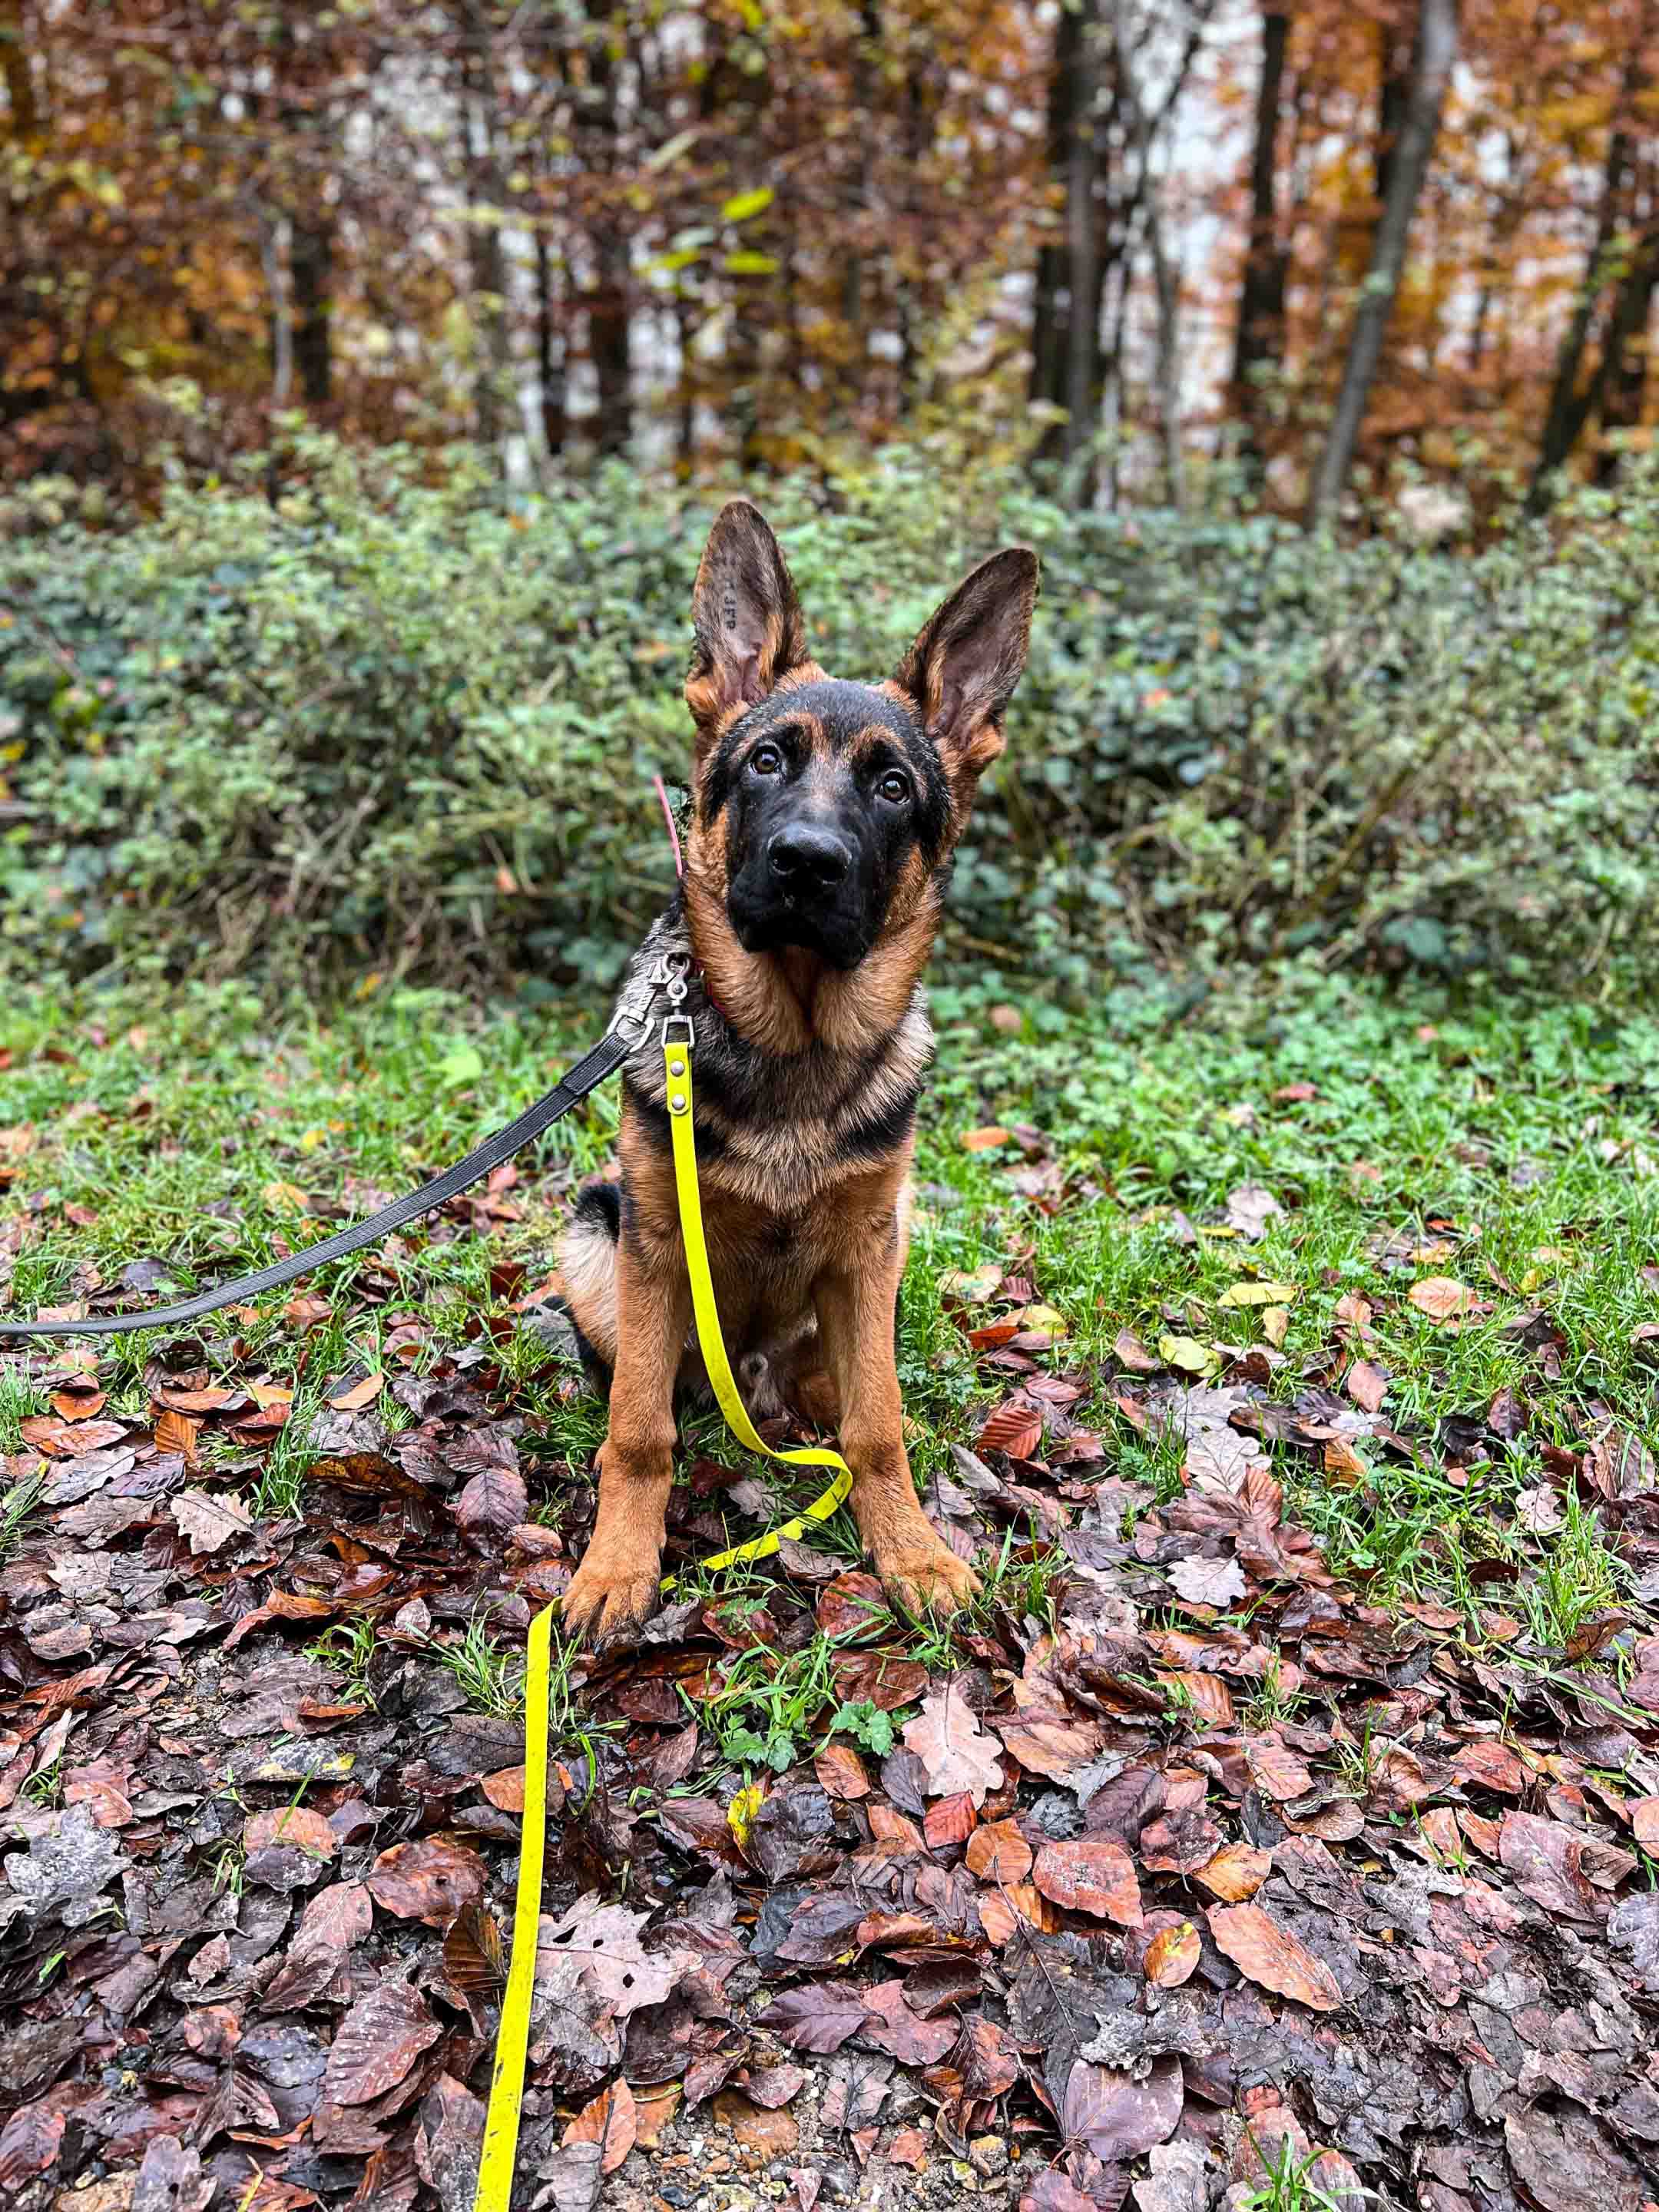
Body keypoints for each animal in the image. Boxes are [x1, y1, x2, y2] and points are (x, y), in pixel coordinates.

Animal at [566, 502, 1044, 1645]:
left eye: (892, 787)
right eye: (767, 763)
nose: (807, 864)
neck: (795, 1040)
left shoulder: (869, 1246)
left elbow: (882, 1428)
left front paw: (909, 1549)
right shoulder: (655, 1246)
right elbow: (637, 1435)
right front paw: (616, 1566)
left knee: (851, 1387)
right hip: (593, 1239)